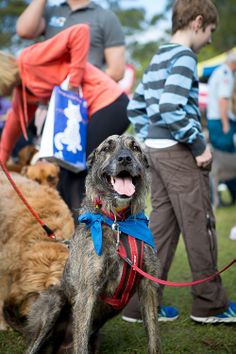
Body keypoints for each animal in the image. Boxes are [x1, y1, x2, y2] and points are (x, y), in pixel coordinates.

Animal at [26, 134, 162, 352]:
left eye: (135, 147)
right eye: (107, 148)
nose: (125, 159)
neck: (119, 223)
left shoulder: (148, 286)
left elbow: (154, 338)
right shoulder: (86, 292)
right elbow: (81, 345)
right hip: (54, 301)